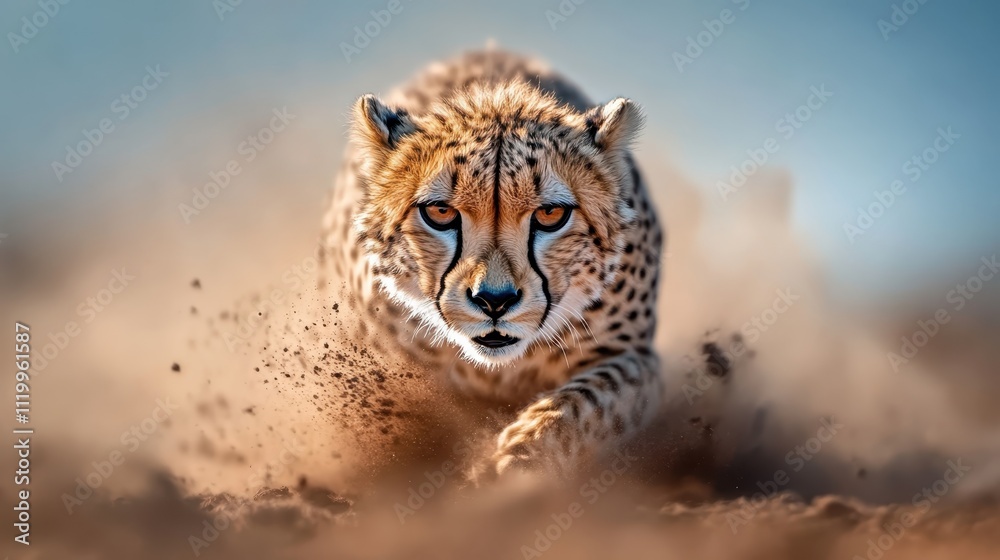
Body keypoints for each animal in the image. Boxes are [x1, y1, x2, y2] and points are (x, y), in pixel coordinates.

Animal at [321, 49, 664, 480]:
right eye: (439, 212)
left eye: (551, 213)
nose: (494, 301)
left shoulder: (636, 357)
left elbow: (591, 398)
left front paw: (522, 452)